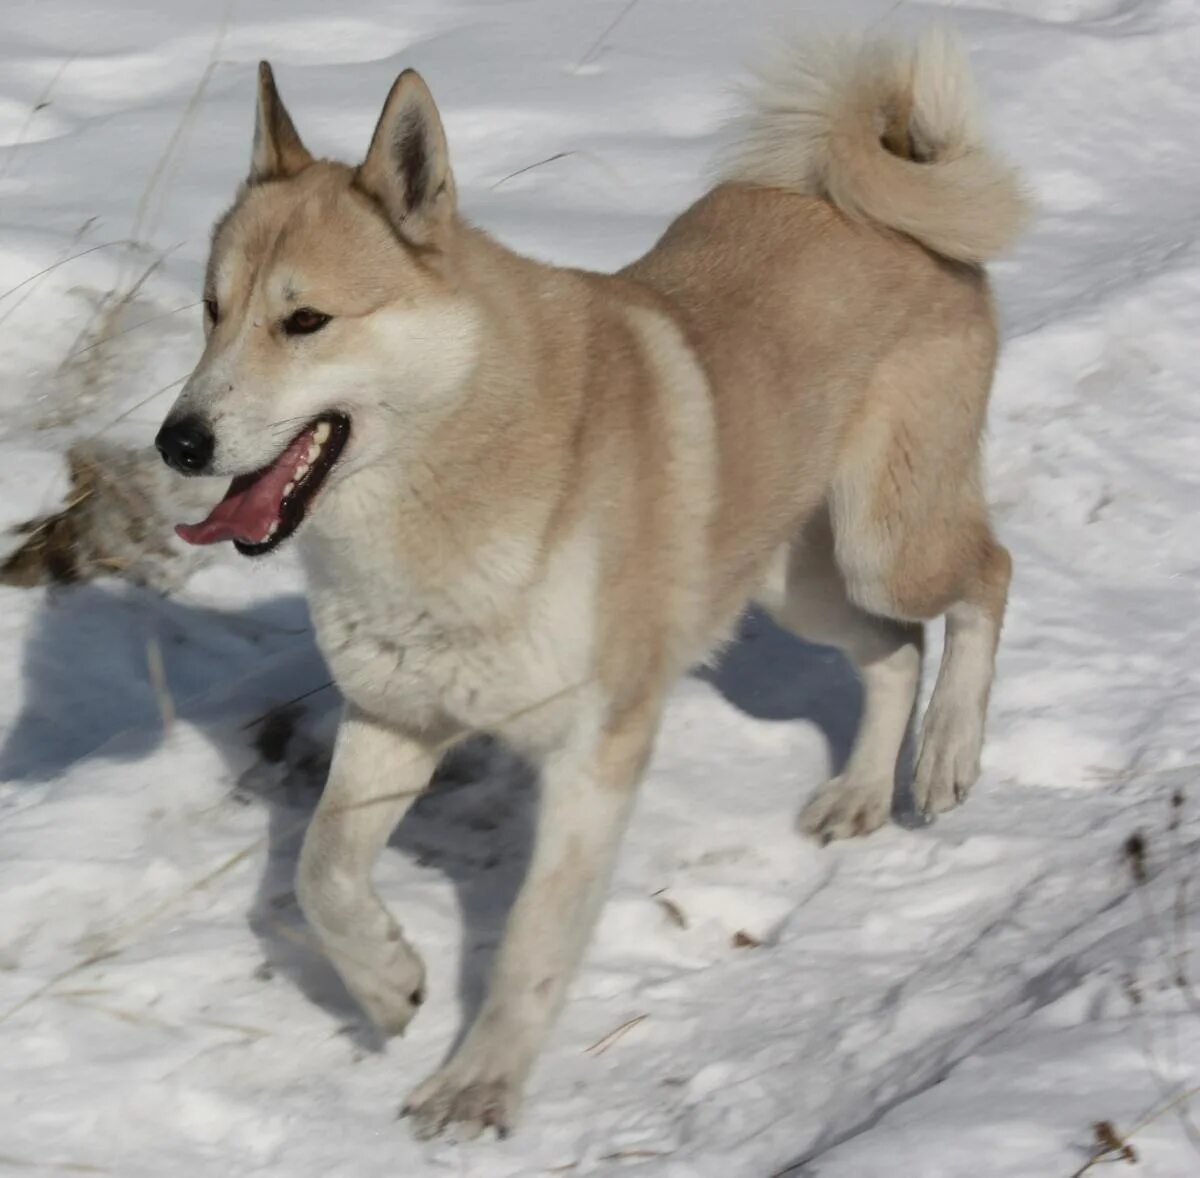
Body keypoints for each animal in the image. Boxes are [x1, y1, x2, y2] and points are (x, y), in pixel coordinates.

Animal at [154, 32, 1027, 1142]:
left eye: (305, 320)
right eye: (211, 311)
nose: (176, 441)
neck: (459, 463)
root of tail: (893, 188)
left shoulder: (591, 752)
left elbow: (531, 938)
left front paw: (478, 1086)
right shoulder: (394, 717)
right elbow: (323, 870)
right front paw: (388, 981)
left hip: (886, 539)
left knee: (987, 577)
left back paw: (950, 753)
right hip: (794, 583)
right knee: (894, 650)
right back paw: (861, 795)